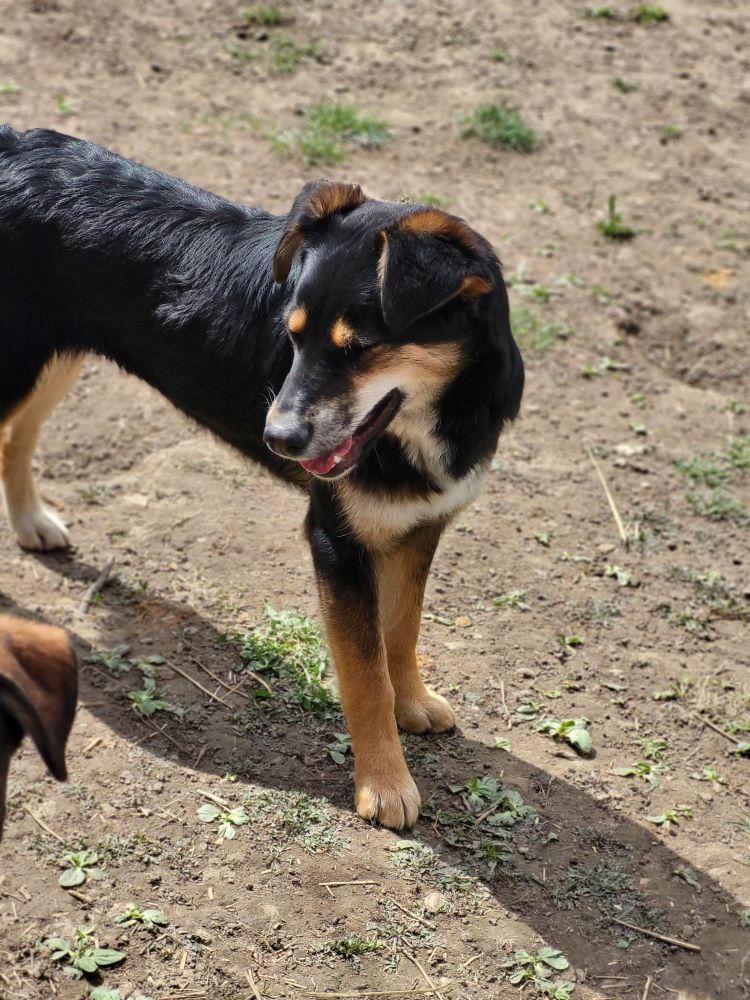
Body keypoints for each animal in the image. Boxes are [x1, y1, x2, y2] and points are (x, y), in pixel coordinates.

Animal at [0, 125, 524, 828]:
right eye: (293, 336)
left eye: (359, 349)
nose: (279, 439)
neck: (434, 417)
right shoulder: (337, 544)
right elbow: (364, 672)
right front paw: (384, 783)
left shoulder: (420, 527)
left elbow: (401, 630)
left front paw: (411, 702)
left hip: (53, 358)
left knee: (18, 434)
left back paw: (32, 522)